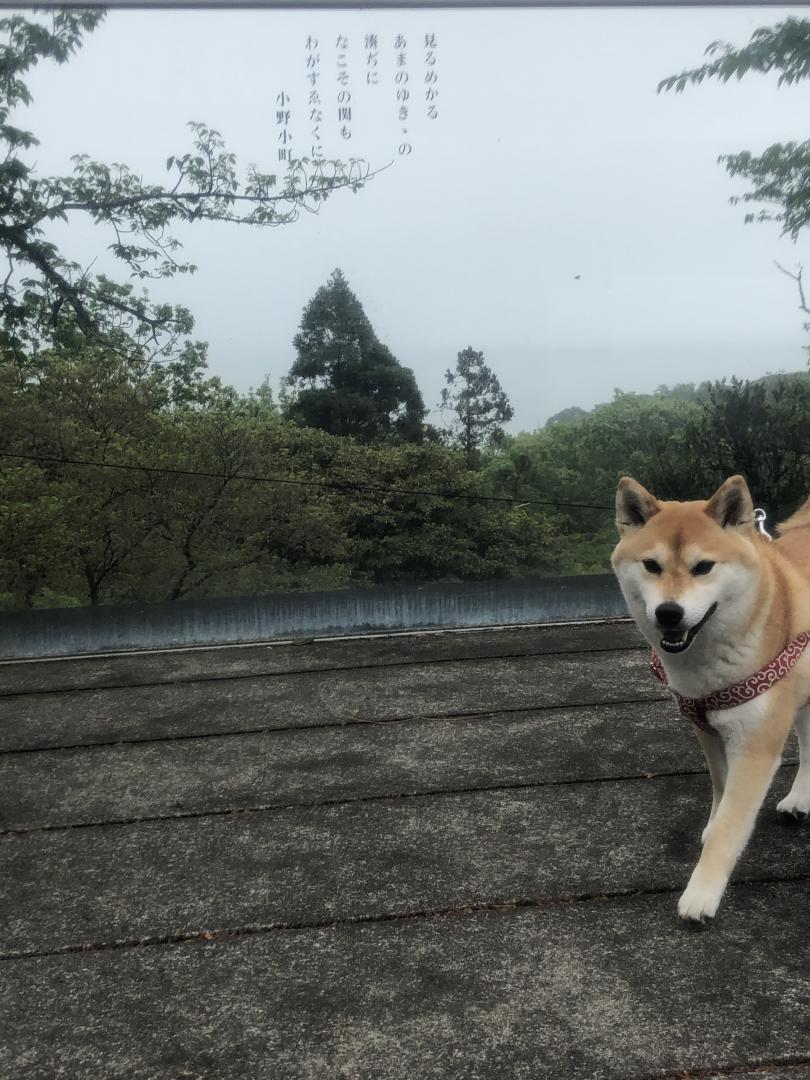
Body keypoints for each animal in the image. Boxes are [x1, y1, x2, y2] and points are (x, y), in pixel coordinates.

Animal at [613, 477, 810, 924]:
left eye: (703, 567)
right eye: (651, 565)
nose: (669, 613)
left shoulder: (755, 747)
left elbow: (729, 828)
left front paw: (701, 893)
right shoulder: (707, 727)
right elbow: (720, 790)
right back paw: (800, 797)